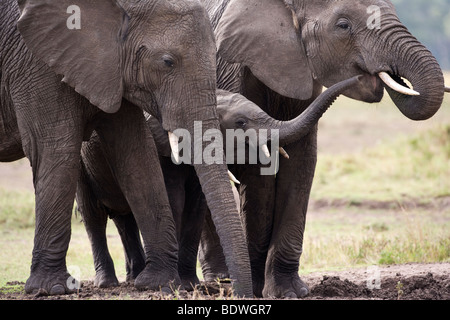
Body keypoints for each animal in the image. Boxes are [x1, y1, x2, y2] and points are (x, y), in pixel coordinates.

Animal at [0, 0, 253, 296]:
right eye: (167, 62)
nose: (235, 292)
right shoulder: (35, 63)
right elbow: (55, 148)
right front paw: (50, 288)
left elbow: (136, 153)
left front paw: (160, 282)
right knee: (93, 213)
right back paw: (104, 282)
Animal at [75, 77, 360, 290]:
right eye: (241, 123)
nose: (358, 77)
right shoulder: (161, 149)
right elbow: (173, 201)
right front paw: (177, 284)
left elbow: (196, 208)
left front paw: (189, 285)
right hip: (81, 165)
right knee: (93, 216)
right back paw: (107, 283)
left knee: (125, 220)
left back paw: (133, 278)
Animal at [199, 0, 448, 298]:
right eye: (343, 26)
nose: (365, 78)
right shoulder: (236, 71)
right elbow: (258, 171)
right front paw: (258, 288)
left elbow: (302, 160)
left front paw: (290, 291)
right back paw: (220, 281)